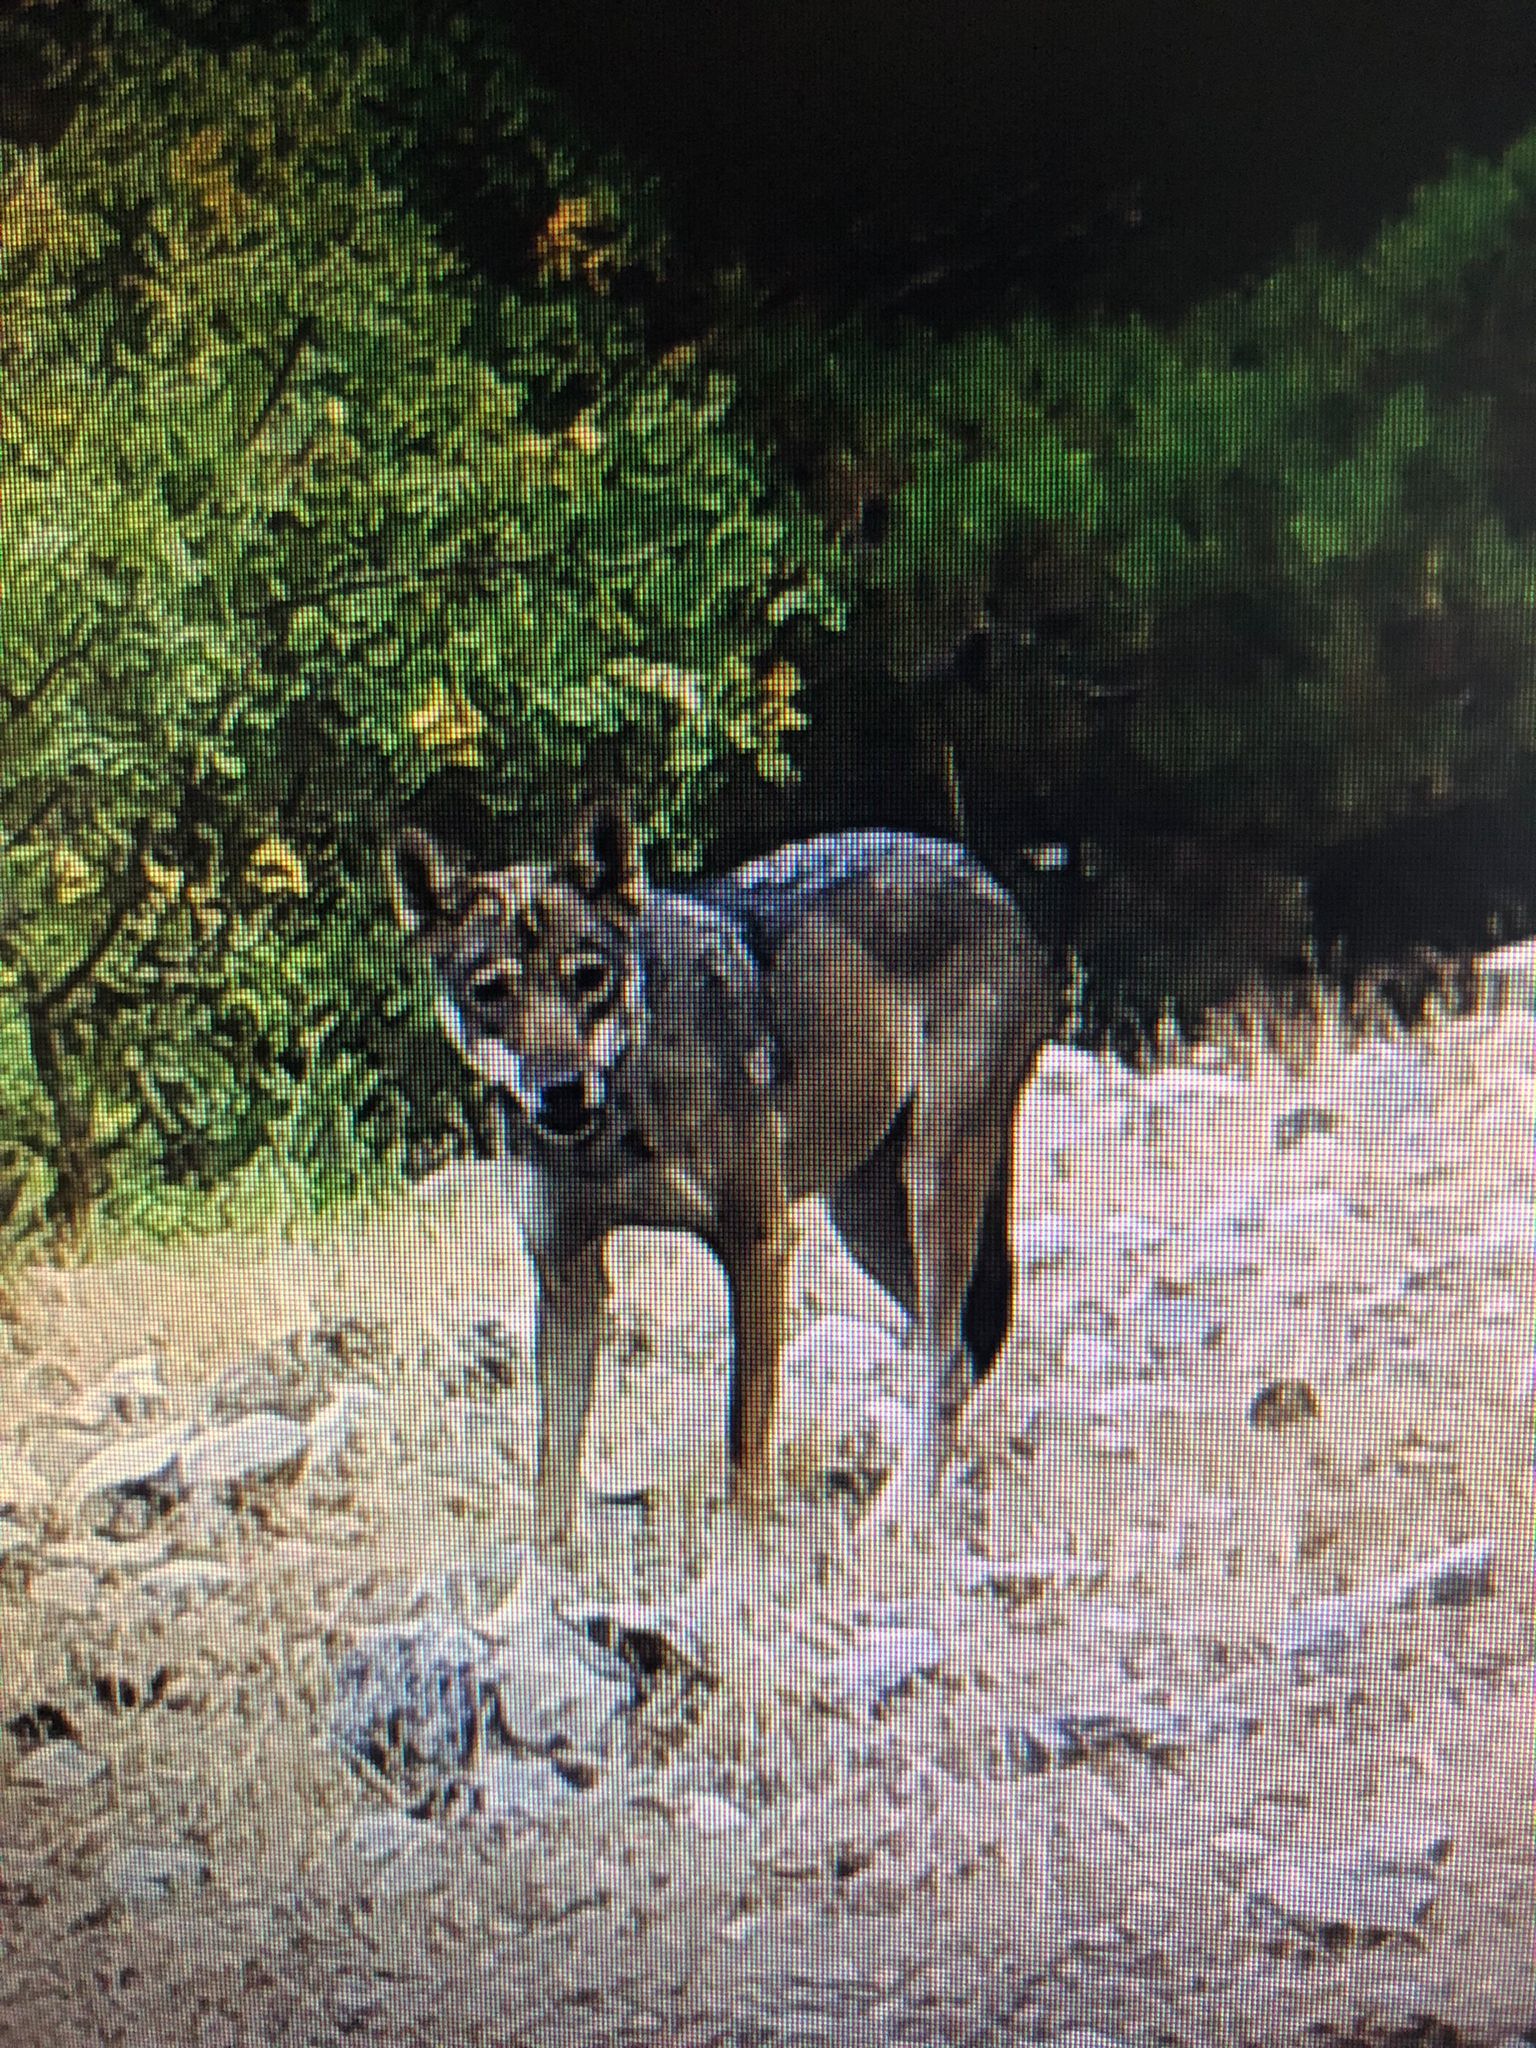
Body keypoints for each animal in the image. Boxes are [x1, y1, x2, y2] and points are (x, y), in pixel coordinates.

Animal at [387, 806, 1056, 1540]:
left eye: (588, 977)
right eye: (491, 992)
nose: (562, 1093)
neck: (619, 1127)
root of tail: (975, 868)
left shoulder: (758, 1245)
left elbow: (744, 1450)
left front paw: (740, 1566)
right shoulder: (568, 1280)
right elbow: (553, 1479)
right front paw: (543, 1571)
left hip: (932, 1182)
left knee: (944, 1358)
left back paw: (898, 1520)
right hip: (863, 1219)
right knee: (955, 1350)